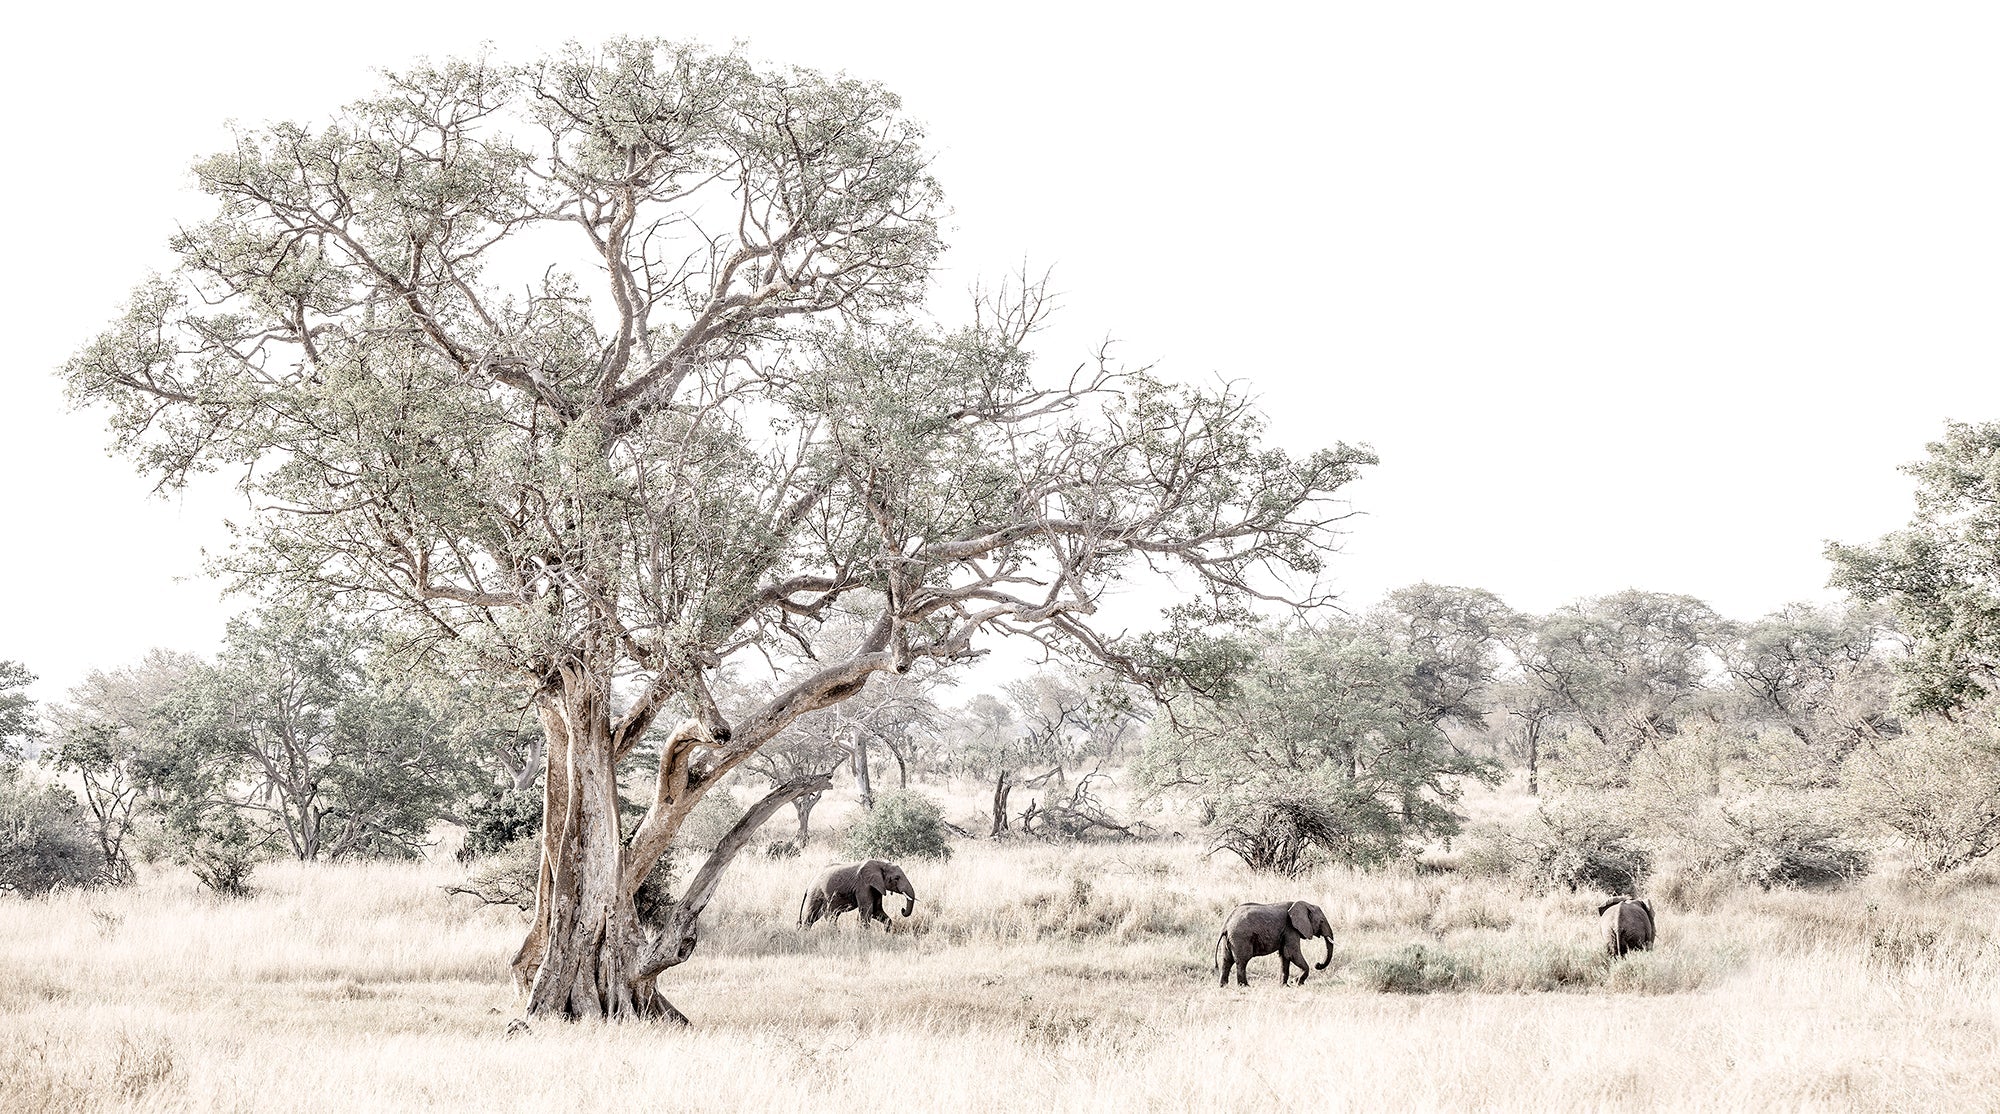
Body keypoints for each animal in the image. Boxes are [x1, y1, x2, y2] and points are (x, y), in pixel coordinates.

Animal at [1208, 900, 1336, 988]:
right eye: (1322, 921)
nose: (1317, 964)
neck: (1304, 904)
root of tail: (1225, 925)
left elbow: (1284, 956)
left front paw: (1285, 986)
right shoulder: (1290, 929)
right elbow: (1292, 953)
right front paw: (1297, 983)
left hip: (1230, 939)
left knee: (1226, 960)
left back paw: (1223, 986)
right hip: (1240, 938)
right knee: (1242, 961)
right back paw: (1245, 986)